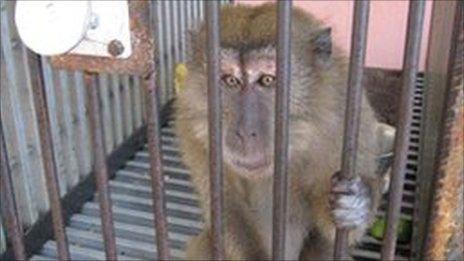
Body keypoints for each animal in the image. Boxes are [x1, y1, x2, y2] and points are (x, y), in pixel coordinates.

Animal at [174, 3, 392, 258]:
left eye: (267, 80)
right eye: (230, 80)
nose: (245, 132)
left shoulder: (345, 119)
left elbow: (330, 234)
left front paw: (357, 204)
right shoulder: (192, 130)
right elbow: (226, 208)